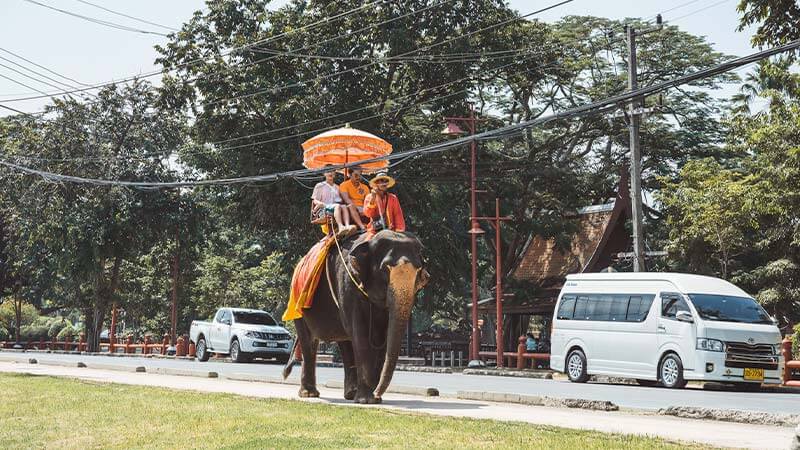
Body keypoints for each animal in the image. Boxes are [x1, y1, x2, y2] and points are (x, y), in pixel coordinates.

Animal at [282, 229, 429, 404]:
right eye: (384, 269)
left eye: (419, 271)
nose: (378, 393)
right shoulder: (348, 284)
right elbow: (360, 334)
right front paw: (367, 400)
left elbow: (382, 337)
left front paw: (373, 399)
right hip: (297, 300)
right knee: (309, 341)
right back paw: (309, 394)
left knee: (344, 342)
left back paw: (350, 394)